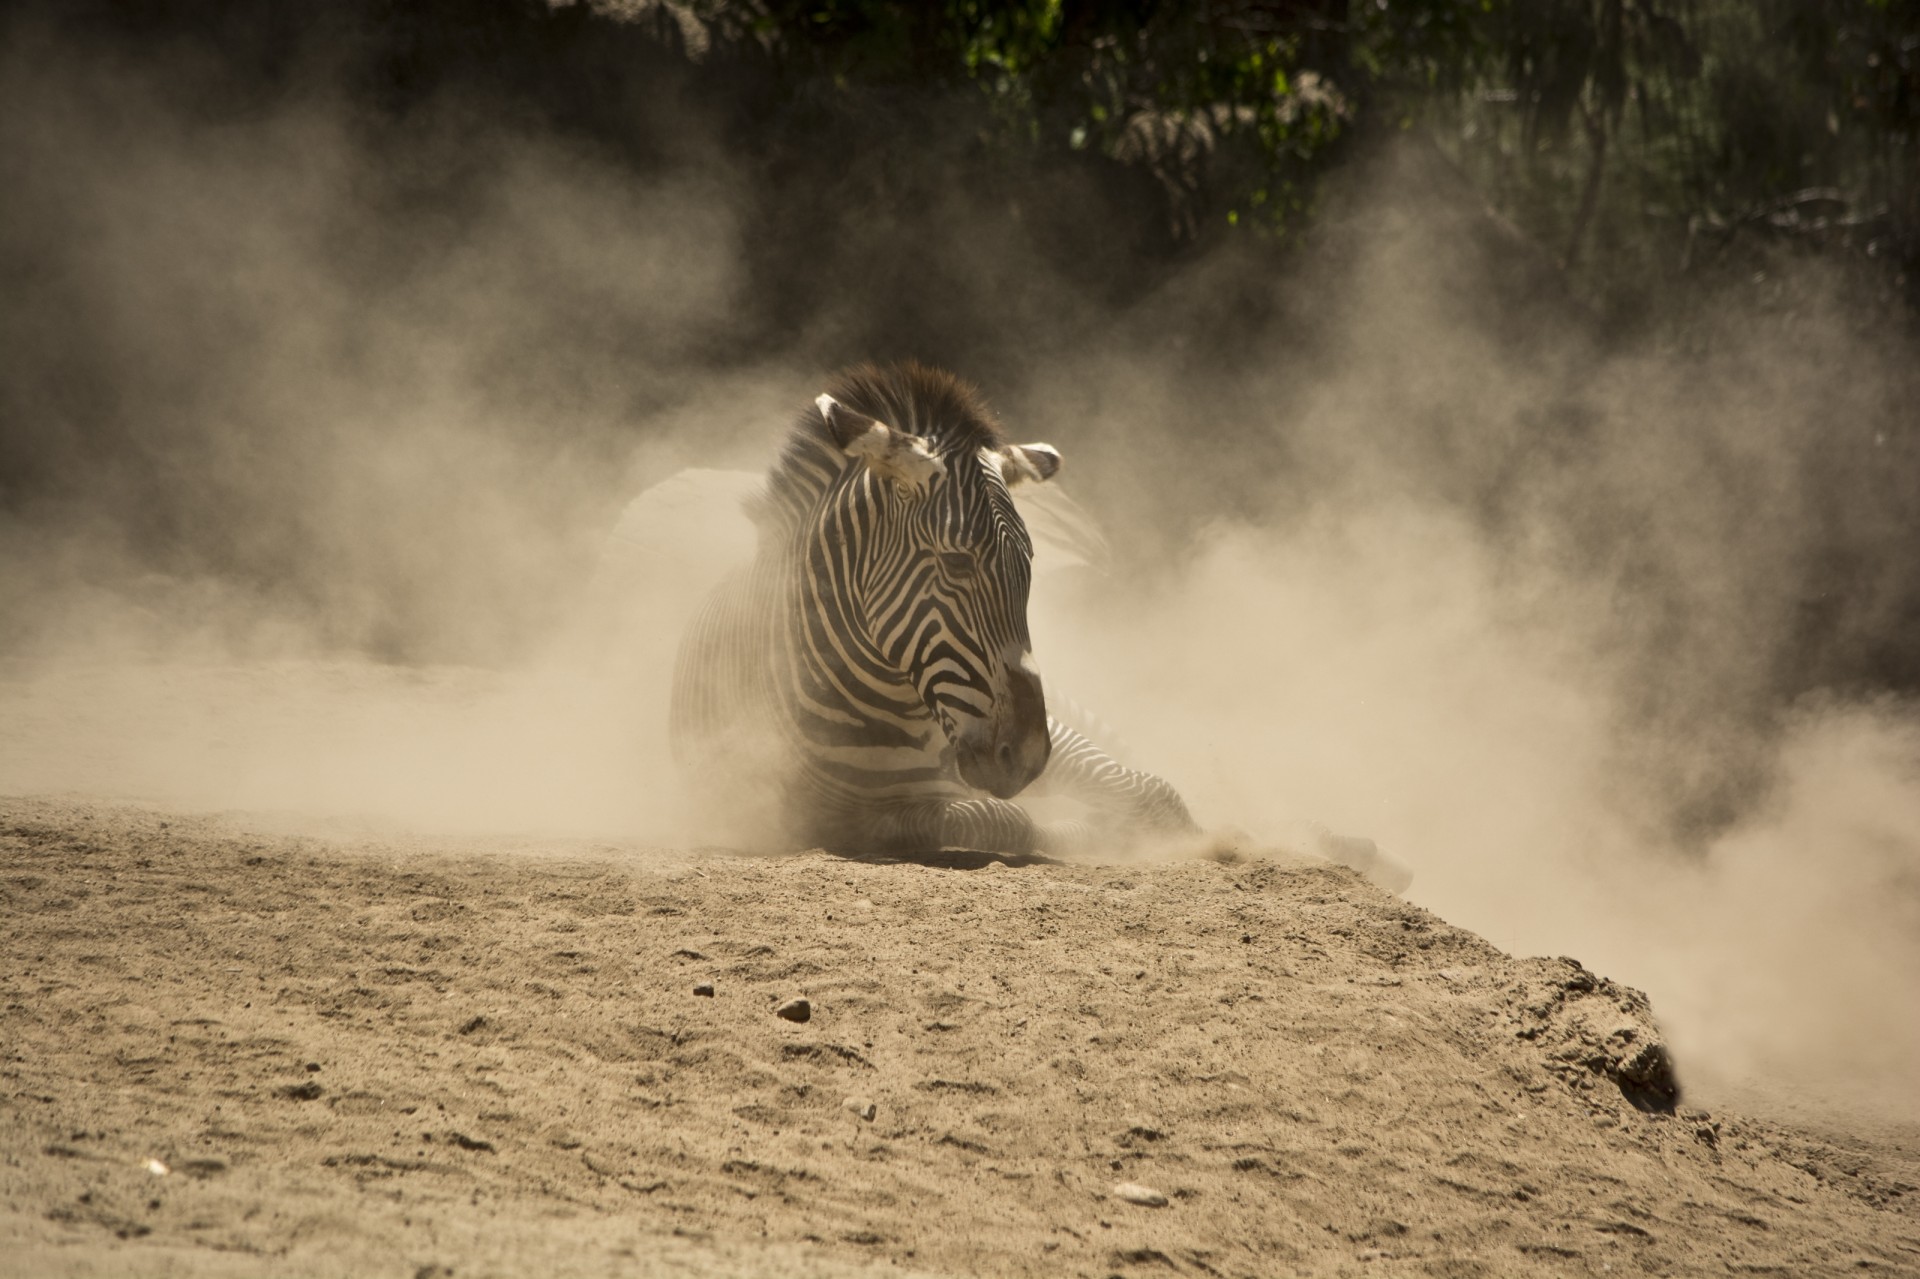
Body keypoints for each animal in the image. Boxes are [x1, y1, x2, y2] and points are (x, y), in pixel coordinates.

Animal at [668, 361, 1190, 856]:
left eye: (1029, 563)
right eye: (956, 562)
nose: (1024, 756)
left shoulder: (1050, 734)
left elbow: (1154, 792)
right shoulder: (839, 819)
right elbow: (1007, 821)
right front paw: (1088, 834)